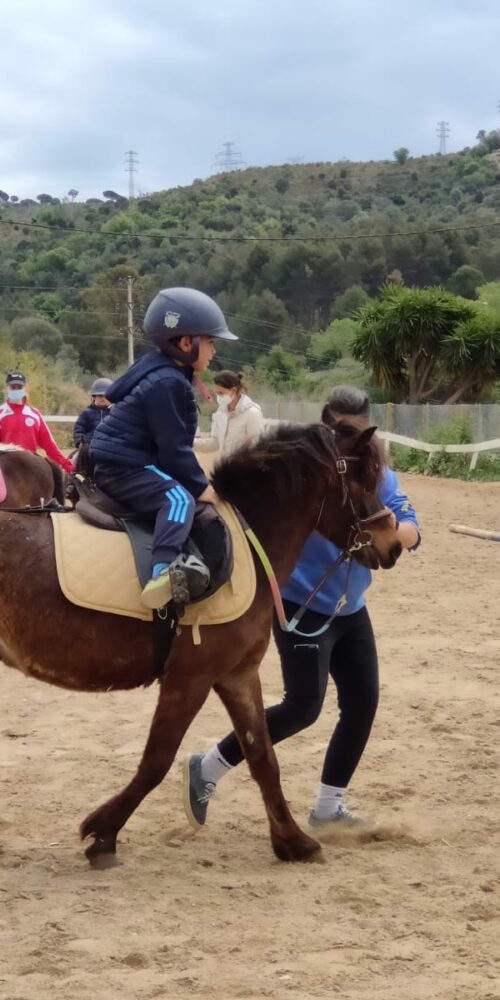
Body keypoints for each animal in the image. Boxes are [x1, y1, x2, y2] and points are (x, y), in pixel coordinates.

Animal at [0, 420, 402, 867]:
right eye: (365, 480)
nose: (394, 543)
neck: (248, 542)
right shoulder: (189, 678)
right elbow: (156, 761)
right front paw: (103, 834)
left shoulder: (237, 674)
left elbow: (262, 757)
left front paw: (293, 841)